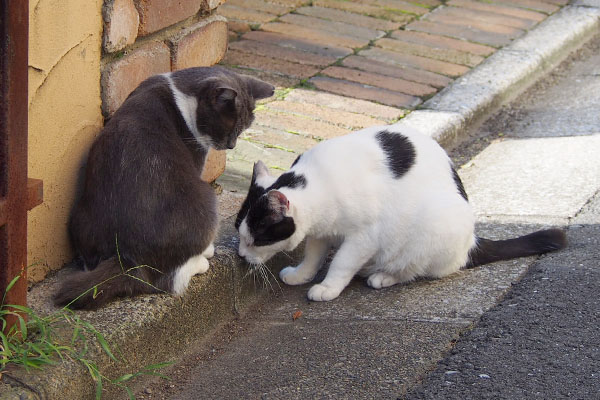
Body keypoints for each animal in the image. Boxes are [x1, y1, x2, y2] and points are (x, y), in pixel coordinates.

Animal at [54, 67, 274, 310]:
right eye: (229, 128)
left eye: (243, 129)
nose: (231, 145)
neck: (180, 91)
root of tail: (128, 261)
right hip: (205, 199)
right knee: (170, 281)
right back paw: (202, 260)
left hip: (80, 217)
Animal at [236, 126, 568, 302]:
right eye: (240, 235)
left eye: (255, 240)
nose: (240, 255)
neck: (318, 181)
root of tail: (471, 241)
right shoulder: (321, 232)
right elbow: (313, 255)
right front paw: (301, 274)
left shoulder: (364, 236)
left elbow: (342, 262)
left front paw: (328, 287)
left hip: (432, 228)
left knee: (417, 269)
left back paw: (383, 277)